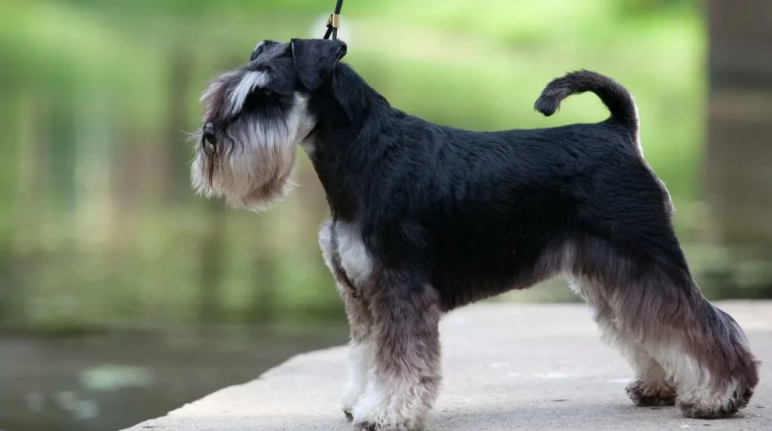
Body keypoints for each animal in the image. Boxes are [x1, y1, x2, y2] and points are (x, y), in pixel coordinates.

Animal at [190, 38, 756, 430]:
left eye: (265, 95)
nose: (210, 136)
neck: (363, 155)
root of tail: (618, 129)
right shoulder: (360, 295)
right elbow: (364, 353)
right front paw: (359, 400)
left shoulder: (400, 289)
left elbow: (399, 361)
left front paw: (386, 412)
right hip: (611, 271)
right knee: (645, 324)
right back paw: (659, 387)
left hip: (645, 257)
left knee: (699, 321)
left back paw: (718, 397)